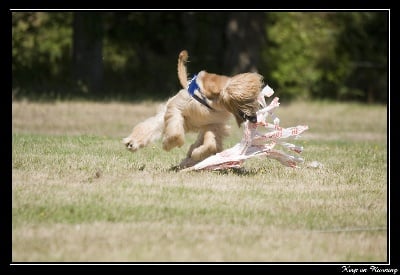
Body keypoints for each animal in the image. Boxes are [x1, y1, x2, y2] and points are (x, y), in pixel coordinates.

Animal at [123, 50, 264, 169]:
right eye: (249, 102)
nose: (254, 119)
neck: (212, 100)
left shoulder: (213, 124)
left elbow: (210, 144)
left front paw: (196, 154)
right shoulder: (176, 108)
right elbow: (175, 133)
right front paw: (168, 144)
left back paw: (188, 161)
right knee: (151, 126)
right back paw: (132, 142)